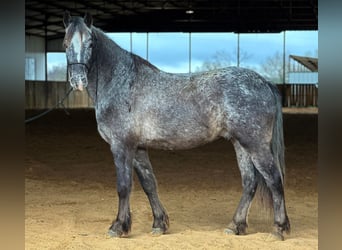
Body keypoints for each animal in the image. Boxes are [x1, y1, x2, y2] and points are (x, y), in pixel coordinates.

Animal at [62, 11, 290, 240]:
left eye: (90, 43)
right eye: (65, 43)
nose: (78, 81)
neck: (122, 83)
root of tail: (264, 82)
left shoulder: (121, 146)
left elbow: (124, 186)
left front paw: (118, 227)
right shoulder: (138, 147)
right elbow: (149, 184)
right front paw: (159, 224)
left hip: (256, 145)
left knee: (274, 179)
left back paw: (278, 229)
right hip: (240, 144)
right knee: (250, 183)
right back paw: (235, 226)